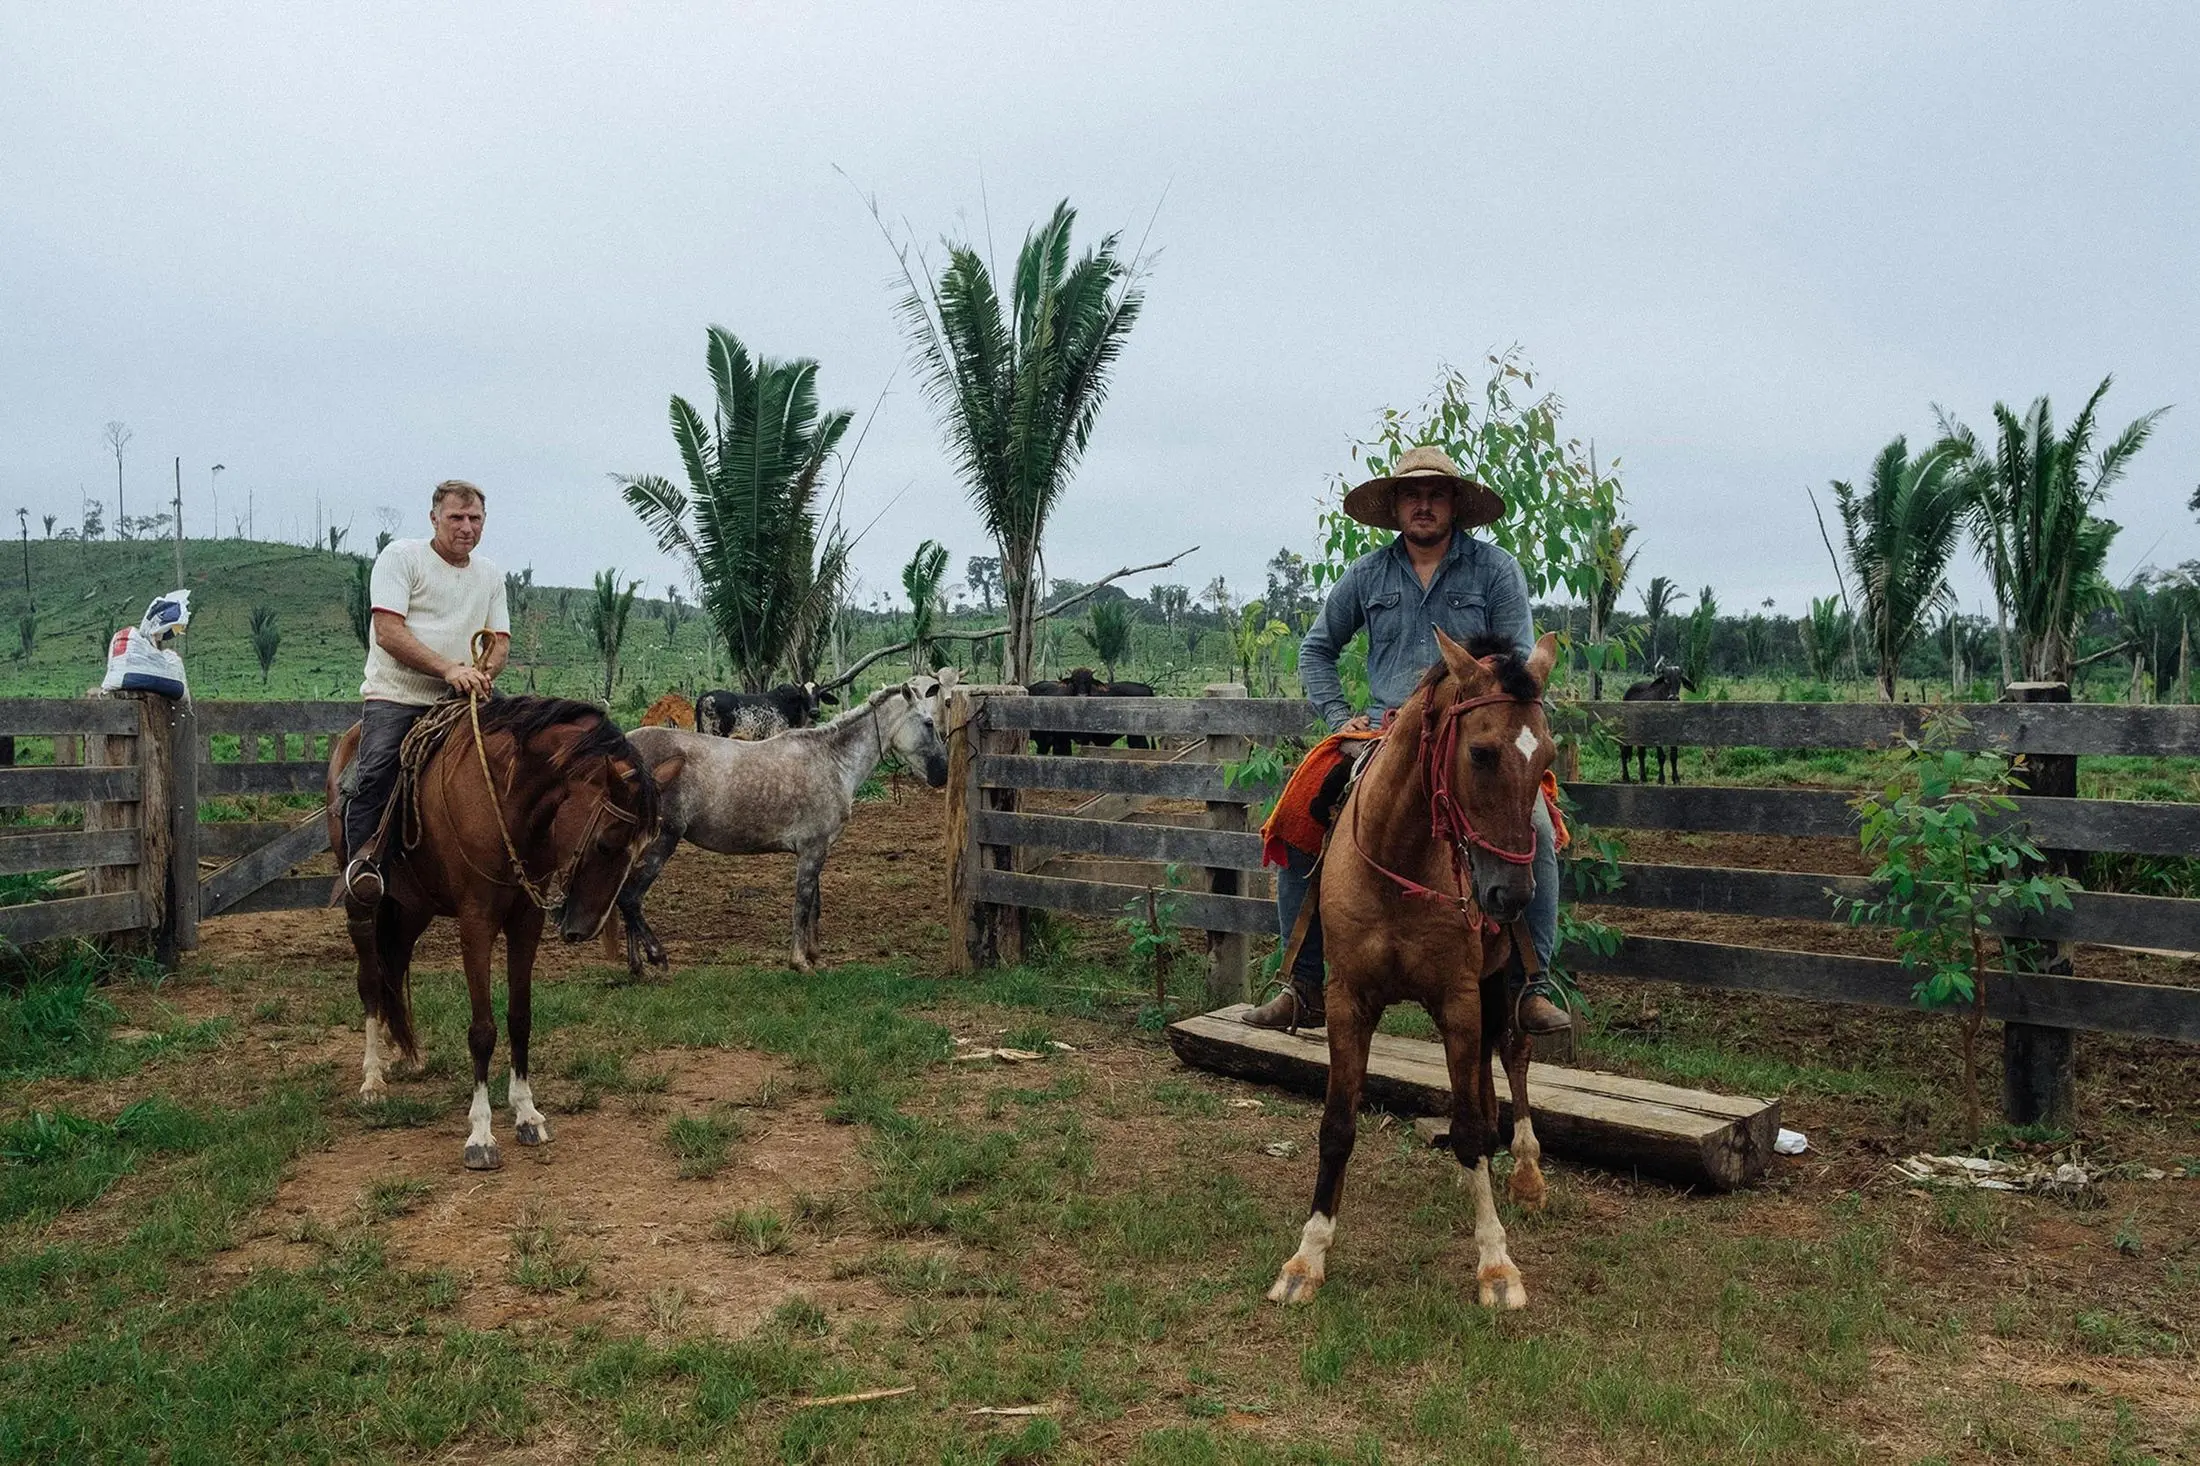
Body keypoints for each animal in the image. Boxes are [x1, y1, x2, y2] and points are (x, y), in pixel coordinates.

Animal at [325, 704, 677, 1171]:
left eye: (641, 850)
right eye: (606, 843)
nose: (584, 928)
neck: (506, 804)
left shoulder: (526, 920)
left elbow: (519, 1018)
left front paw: (527, 1113)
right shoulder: (476, 922)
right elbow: (482, 1029)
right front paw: (481, 1133)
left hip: (414, 906)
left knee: (394, 966)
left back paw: (407, 1053)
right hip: (363, 901)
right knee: (369, 981)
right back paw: (372, 1078)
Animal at [1267, 620, 1557, 1303]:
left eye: (1547, 759)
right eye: (1480, 753)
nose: (1510, 896)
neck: (1398, 859)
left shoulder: (1457, 998)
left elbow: (1475, 1125)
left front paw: (1496, 1262)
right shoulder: (1349, 1000)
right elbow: (1337, 1125)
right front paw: (1307, 1257)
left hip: (1500, 984)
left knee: (1514, 1055)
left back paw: (1525, 1172)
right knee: (1482, 1082)